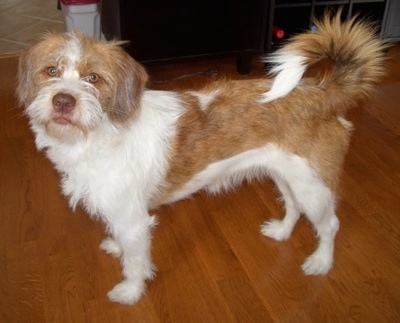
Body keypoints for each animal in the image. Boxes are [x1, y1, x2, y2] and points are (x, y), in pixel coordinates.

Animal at [16, 12, 388, 306]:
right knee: (293, 207)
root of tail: (323, 93)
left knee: (330, 224)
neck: (96, 135)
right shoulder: (120, 213)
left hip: (314, 185)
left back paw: (321, 262)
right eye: (51, 71)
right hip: (287, 176)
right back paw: (282, 232)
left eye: (93, 78)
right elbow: (123, 243)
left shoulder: (134, 220)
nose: (63, 101)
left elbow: (136, 263)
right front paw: (117, 248)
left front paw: (130, 292)